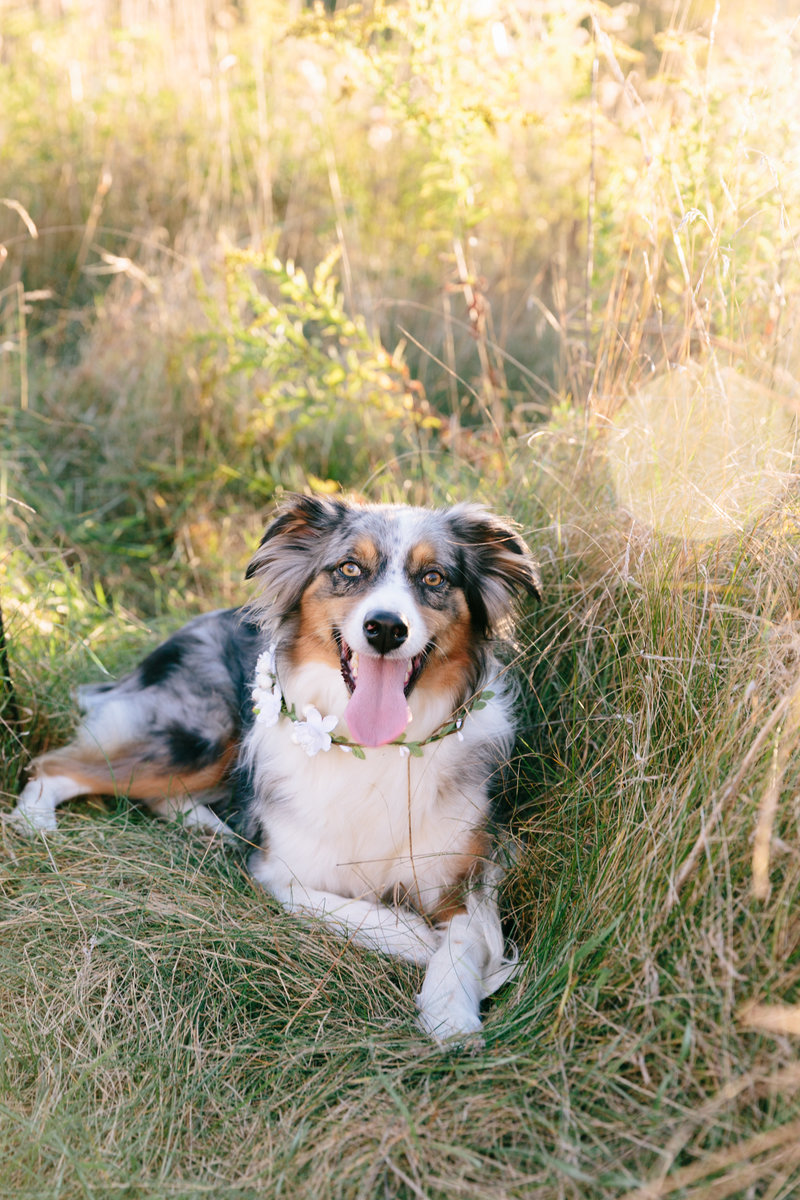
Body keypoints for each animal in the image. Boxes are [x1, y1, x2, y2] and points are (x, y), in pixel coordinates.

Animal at [9, 494, 542, 1041]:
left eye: (434, 577)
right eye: (349, 568)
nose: (386, 628)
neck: (374, 747)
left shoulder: (468, 866)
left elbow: (467, 937)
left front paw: (452, 1013)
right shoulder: (280, 871)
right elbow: (342, 906)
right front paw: (415, 938)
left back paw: (209, 828)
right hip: (201, 738)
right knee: (55, 763)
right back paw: (36, 821)